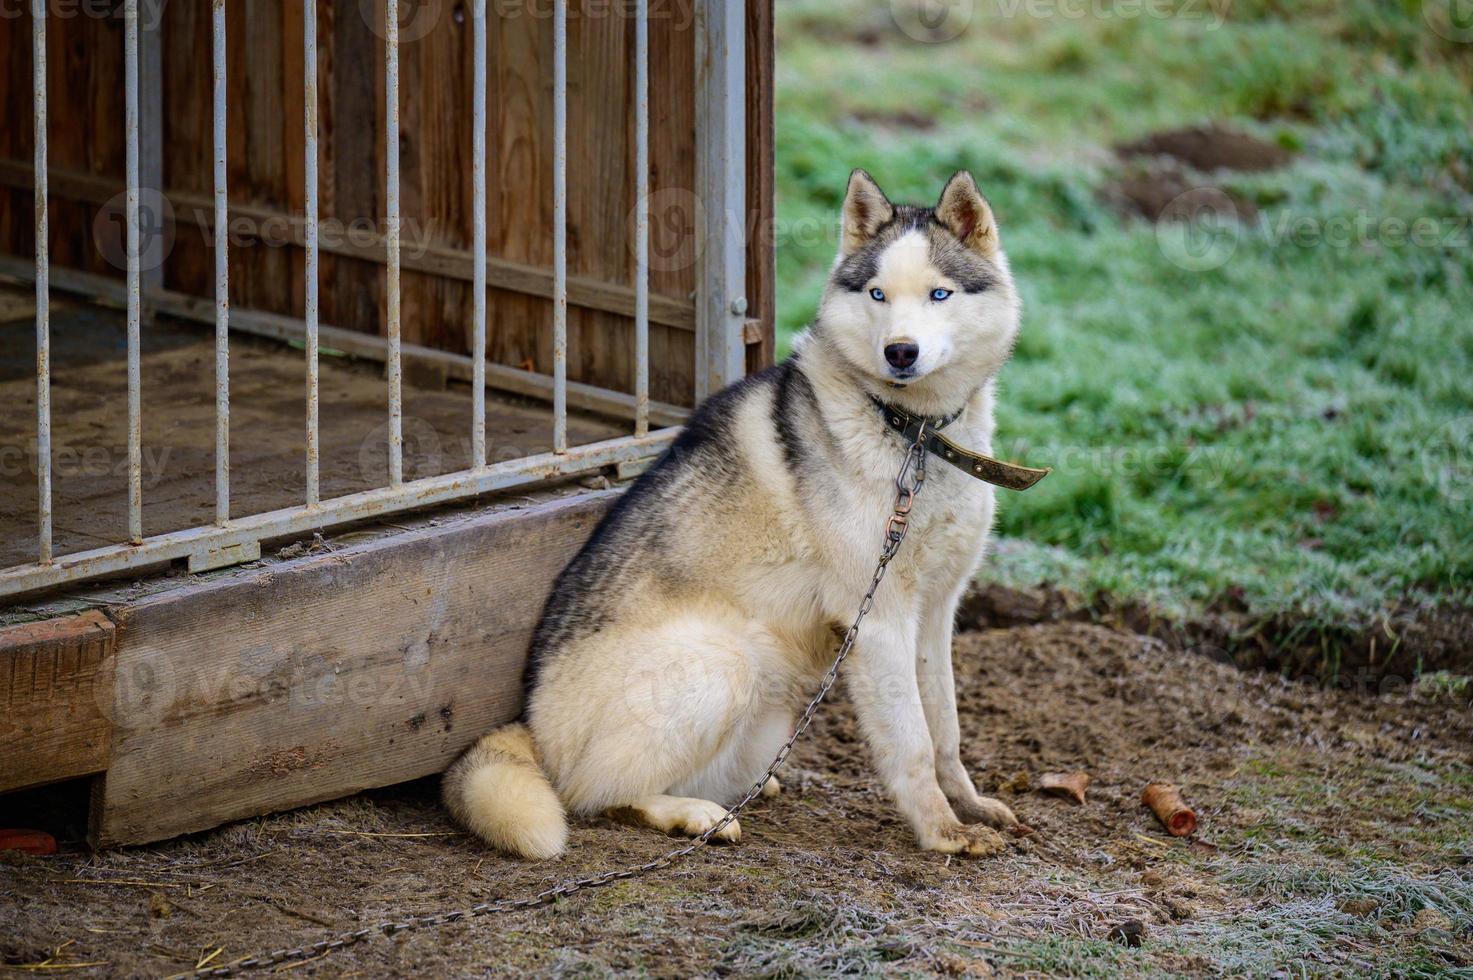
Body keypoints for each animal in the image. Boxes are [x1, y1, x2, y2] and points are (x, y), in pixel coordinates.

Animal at [441, 168, 1031, 854]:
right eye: (878, 294)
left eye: (939, 294)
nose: (900, 353)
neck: (913, 436)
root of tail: (532, 729)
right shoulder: (879, 619)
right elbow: (911, 742)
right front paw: (942, 832)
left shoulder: (935, 612)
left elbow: (945, 730)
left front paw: (969, 805)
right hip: (727, 663)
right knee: (592, 795)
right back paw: (693, 814)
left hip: (770, 714)